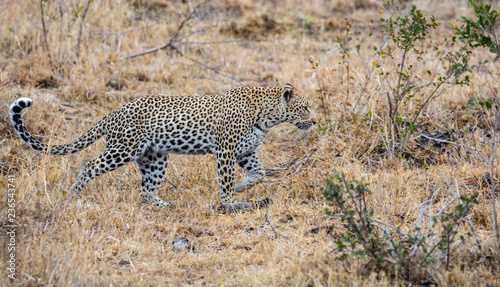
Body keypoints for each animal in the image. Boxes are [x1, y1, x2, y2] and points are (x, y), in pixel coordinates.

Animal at [9, 83, 316, 212]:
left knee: (145, 191)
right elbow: (226, 179)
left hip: (155, 159)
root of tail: (113, 113)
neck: (267, 116)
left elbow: (259, 173)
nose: (315, 121)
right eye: (305, 107)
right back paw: (75, 195)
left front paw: (242, 188)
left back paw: (165, 205)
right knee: (89, 165)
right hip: (122, 149)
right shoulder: (227, 151)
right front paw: (230, 202)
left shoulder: (246, 152)